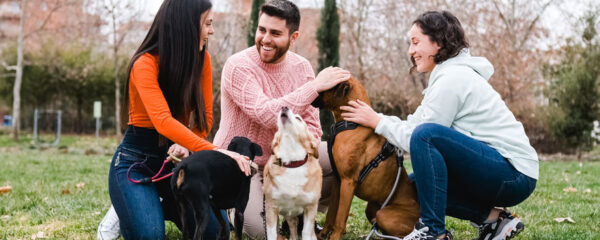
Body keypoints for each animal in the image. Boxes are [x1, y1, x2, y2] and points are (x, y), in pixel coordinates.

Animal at [312, 78, 420, 239]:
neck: (353, 124)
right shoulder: (338, 181)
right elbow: (331, 214)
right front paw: (323, 235)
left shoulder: (348, 181)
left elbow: (340, 218)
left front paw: (335, 236)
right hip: (371, 209)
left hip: (383, 215)